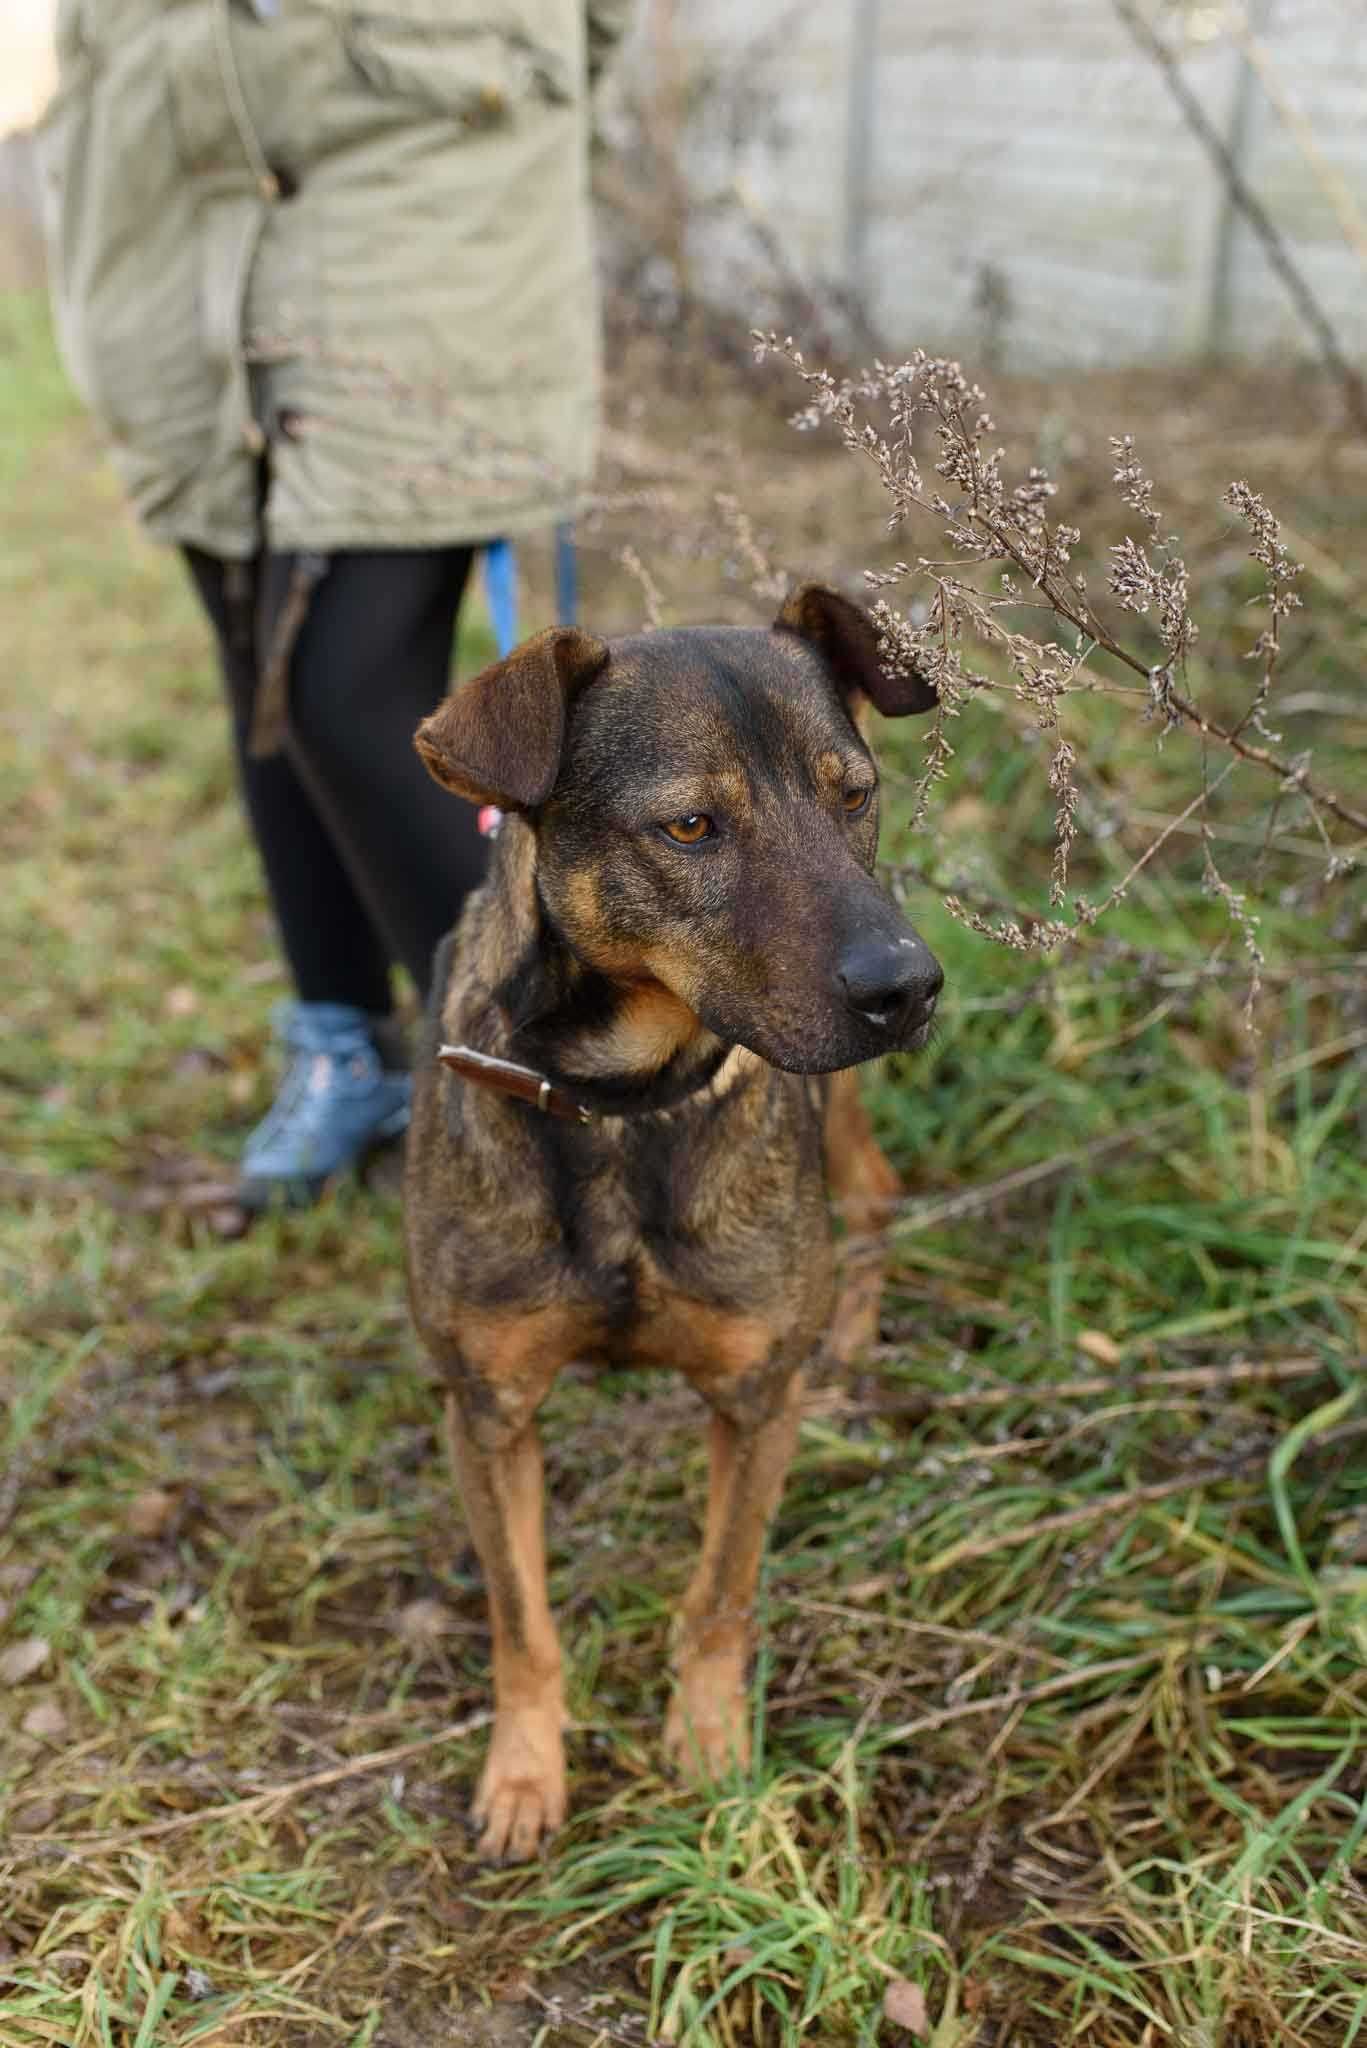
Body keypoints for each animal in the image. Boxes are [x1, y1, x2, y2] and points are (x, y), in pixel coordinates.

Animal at [403, 585, 942, 1867]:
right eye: (691, 826)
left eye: (854, 794)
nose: (908, 984)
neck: (617, 1101)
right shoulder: (486, 1410)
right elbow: (521, 1620)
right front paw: (523, 1772)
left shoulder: (754, 1399)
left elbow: (719, 1594)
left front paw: (708, 1747)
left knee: (873, 1189)